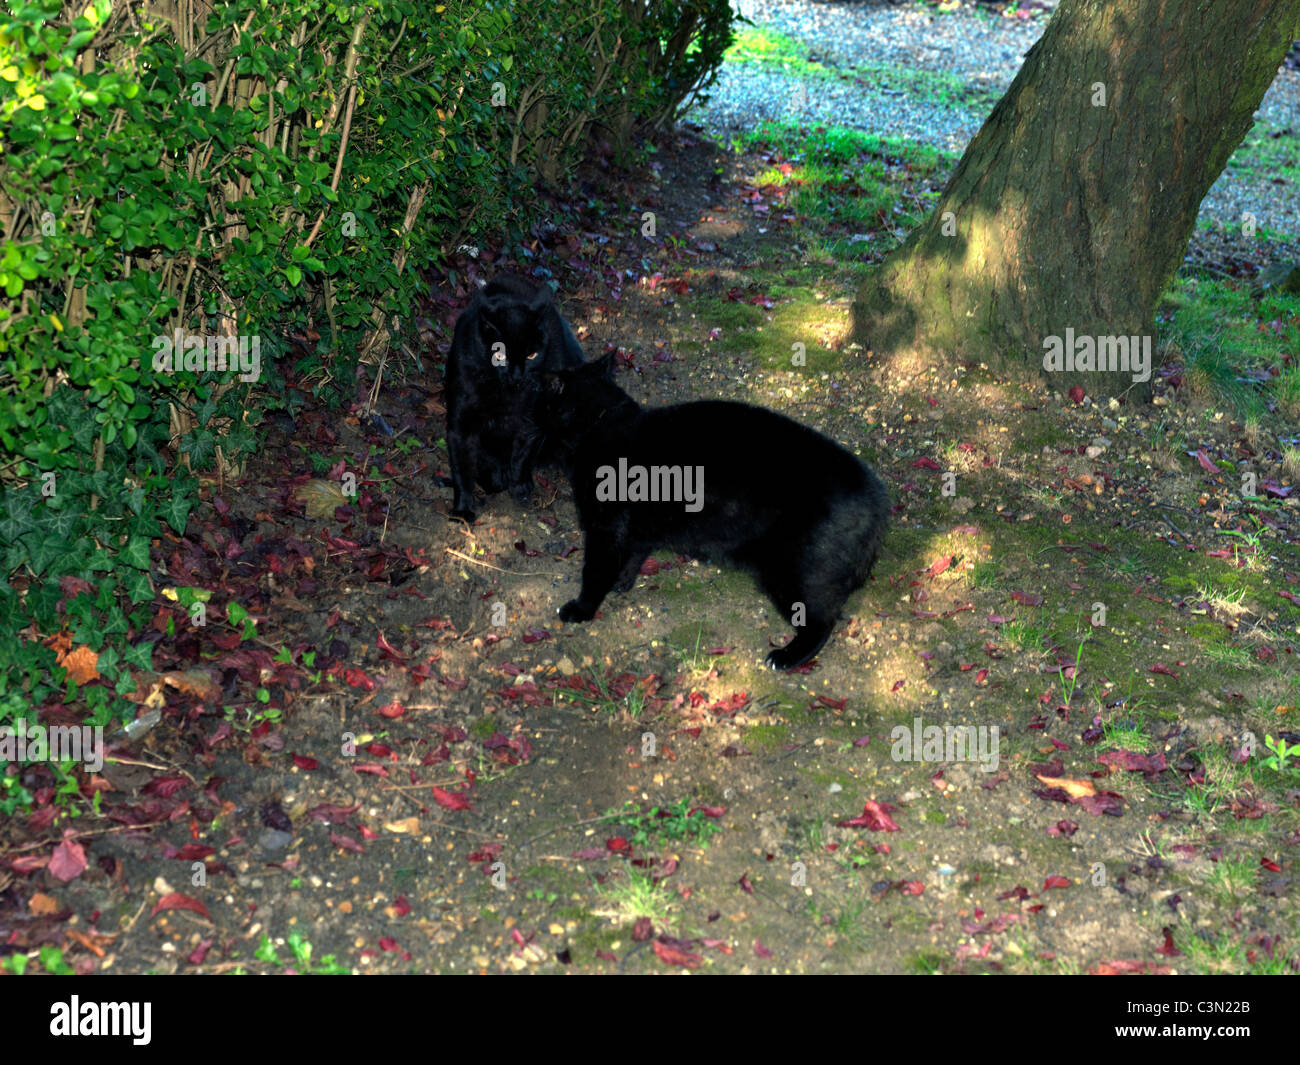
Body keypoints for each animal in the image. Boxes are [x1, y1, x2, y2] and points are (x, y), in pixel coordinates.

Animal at [447, 273, 590, 522]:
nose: (517, 374)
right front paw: (463, 510)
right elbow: (462, 468)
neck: (504, 392)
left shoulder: (532, 419)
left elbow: (524, 453)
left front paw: (520, 485)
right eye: (499, 355)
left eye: (531, 354)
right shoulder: (461, 423)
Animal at [533, 353, 889, 670]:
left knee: (822, 621)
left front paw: (581, 609)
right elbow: (632, 557)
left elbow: (595, 573)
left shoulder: (604, 530)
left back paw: (785, 657)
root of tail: (876, 499)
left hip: (792, 575)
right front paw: (621, 583)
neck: (602, 421)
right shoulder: (633, 531)